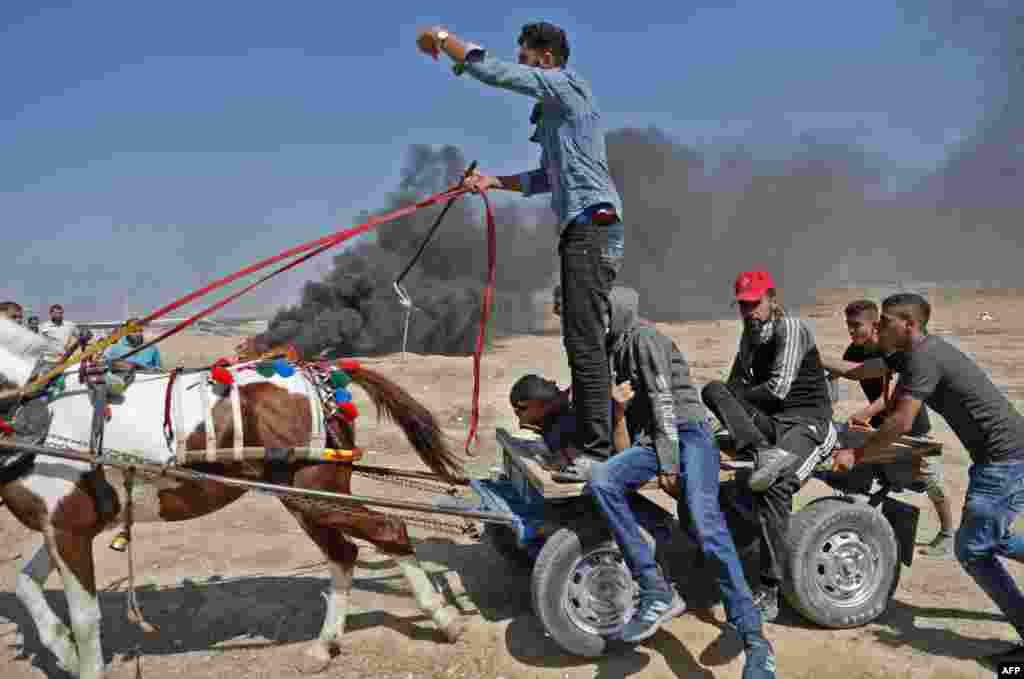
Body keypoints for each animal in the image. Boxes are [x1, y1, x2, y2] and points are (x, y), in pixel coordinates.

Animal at [0, 319, 468, 679]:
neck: (39, 408)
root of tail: (317, 371)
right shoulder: (61, 526)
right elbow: (26, 584)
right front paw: (61, 649)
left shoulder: (68, 527)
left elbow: (84, 618)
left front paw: (79, 658)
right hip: (304, 498)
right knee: (344, 554)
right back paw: (325, 644)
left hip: (319, 492)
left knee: (390, 528)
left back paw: (443, 618)